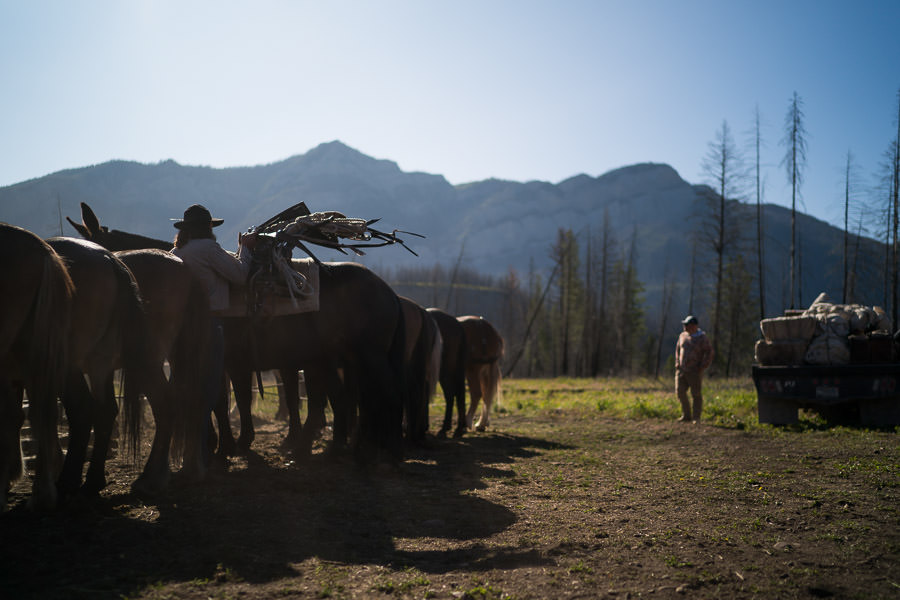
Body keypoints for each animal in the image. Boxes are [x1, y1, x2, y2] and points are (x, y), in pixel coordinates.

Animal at [69, 203, 407, 464]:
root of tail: (387, 291)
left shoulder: (230, 362)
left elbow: (225, 399)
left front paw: (227, 446)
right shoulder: (234, 363)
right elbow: (228, 399)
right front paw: (229, 444)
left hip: (366, 356)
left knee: (379, 394)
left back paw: (381, 450)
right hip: (340, 359)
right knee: (346, 398)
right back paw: (345, 447)